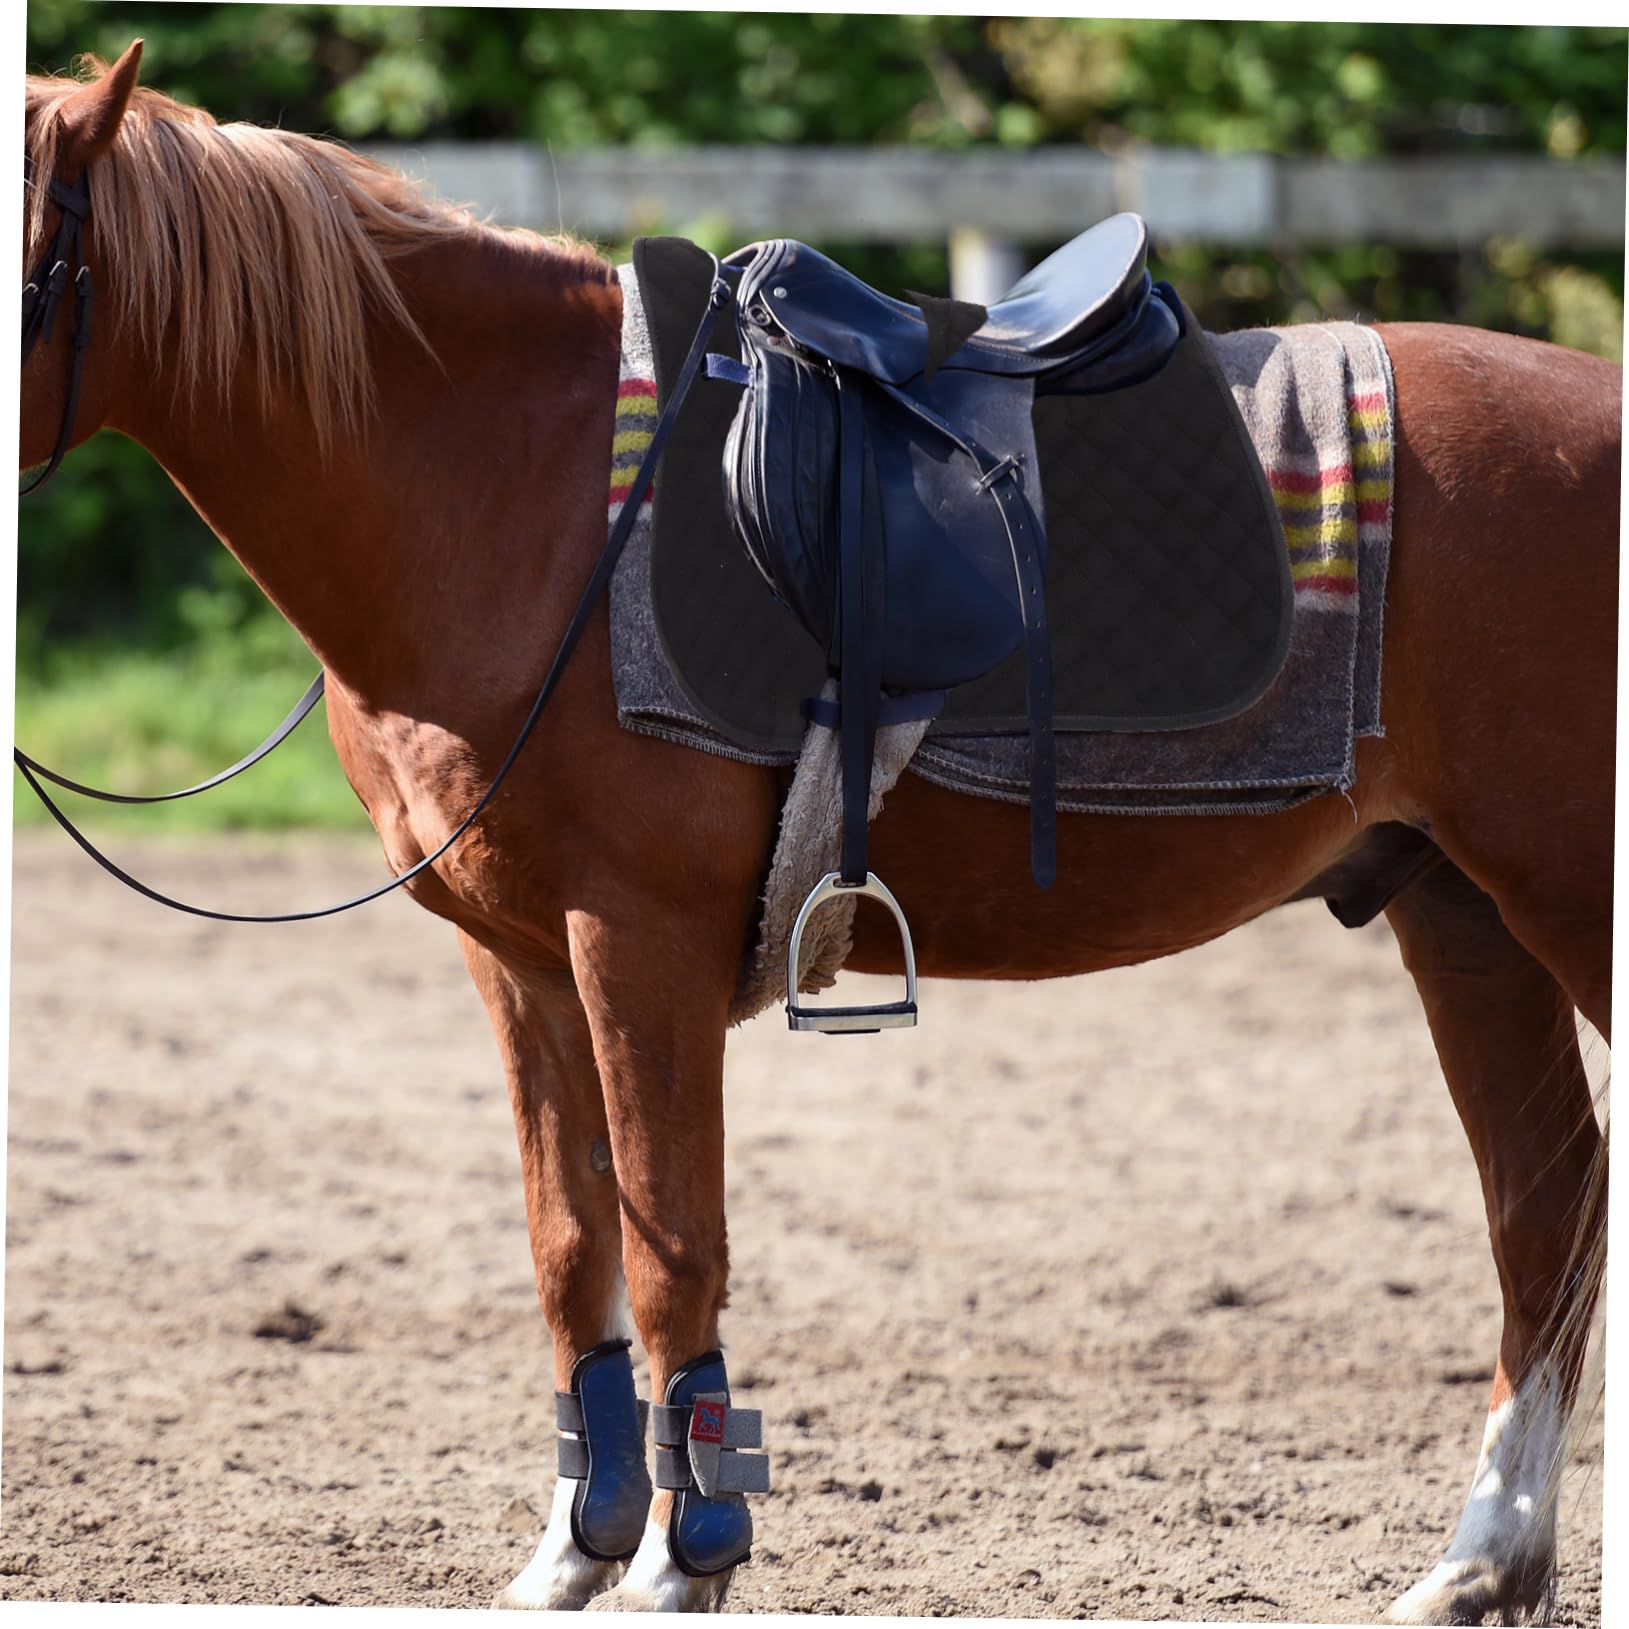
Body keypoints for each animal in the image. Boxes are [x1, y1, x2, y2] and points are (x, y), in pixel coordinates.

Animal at [20, 45, 1614, 1622]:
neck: (512, 490)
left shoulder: (636, 943)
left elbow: (671, 1248)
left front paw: (685, 1554)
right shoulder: (518, 961)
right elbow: (569, 1244)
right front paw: (578, 1546)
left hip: (1562, 898)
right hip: (1461, 911)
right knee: (1544, 1201)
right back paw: (1477, 1561)